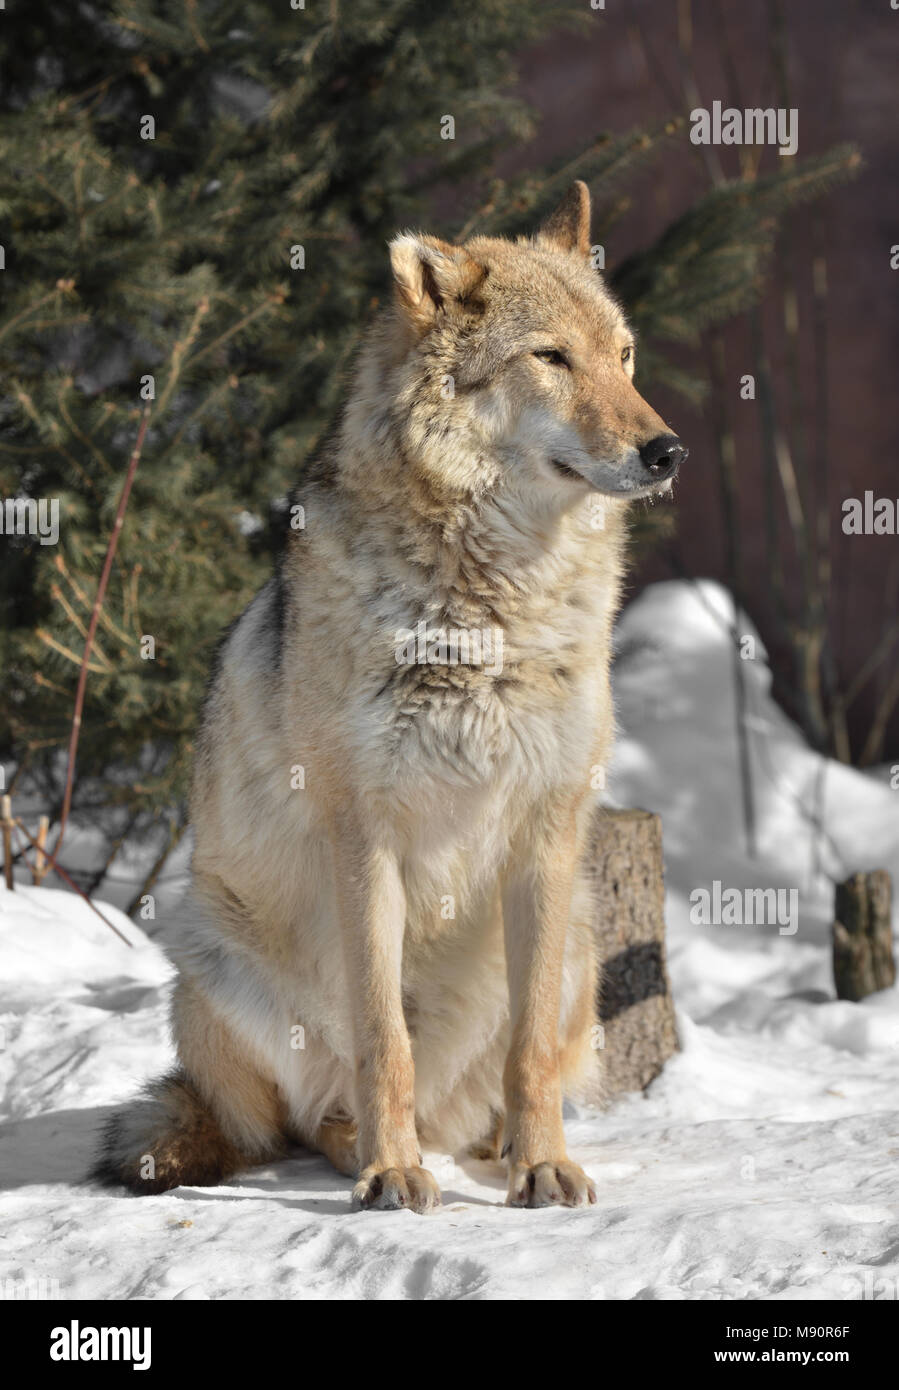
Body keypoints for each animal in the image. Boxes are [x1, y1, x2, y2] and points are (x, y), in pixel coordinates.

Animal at [95, 182, 685, 1211]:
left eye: (622, 356)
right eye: (550, 358)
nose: (666, 450)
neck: (489, 610)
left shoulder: (547, 828)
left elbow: (528, 1052)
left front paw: (543, 1166)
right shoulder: (363, 835)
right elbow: (382, 1040)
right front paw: (390, 1173)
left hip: (580, 940)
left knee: (489, 1086)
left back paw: (489, 1147)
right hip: (212, 947)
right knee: (301, 1119)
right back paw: (383, 1155)